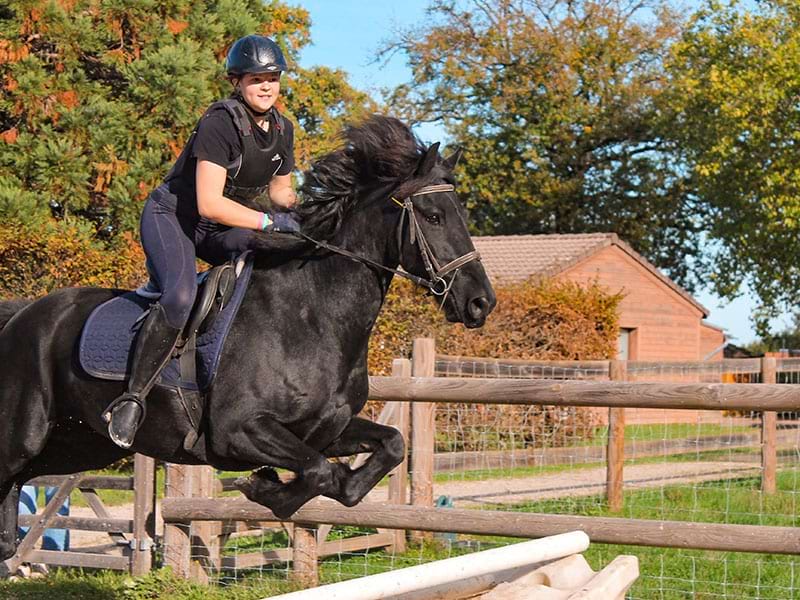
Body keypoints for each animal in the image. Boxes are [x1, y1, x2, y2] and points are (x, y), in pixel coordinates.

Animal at [0, 115, 494, 560]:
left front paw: (289, 487)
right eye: (433, 216)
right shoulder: (238, 431)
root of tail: (20, 316)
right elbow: (319, 472)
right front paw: (263, 486)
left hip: (78, 444)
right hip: (27, 435)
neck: (312, 316)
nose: (480, 303)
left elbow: (386, 448)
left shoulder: (324, 430)